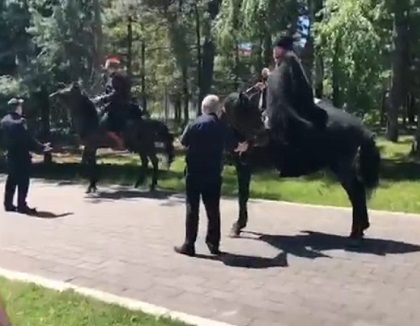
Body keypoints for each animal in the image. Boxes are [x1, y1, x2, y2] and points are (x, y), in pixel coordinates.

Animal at [225, 90, 382, 241]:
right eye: (248, 112)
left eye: (253, 113)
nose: (263, 136)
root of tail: (362, 128)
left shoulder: (244, 166)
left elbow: (243, 196)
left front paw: (238, 226)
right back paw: (360, 229)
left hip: (343, 168)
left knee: (357, 193)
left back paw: (356, 232)